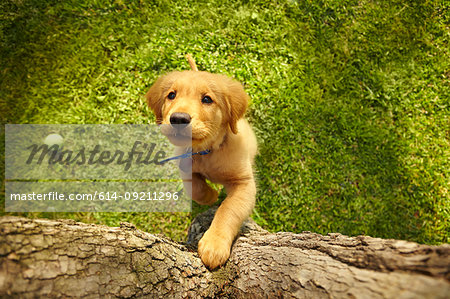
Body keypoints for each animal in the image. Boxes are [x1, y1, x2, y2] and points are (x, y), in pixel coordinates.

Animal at [147, 60, 256, 270]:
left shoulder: (244, 183)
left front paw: (214, 245)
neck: (208, 151)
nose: (178, 119)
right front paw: (211, 195)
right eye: (171, 95)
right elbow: (195, 189)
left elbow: (228, 209)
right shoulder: (184, 165)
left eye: (207, 99)